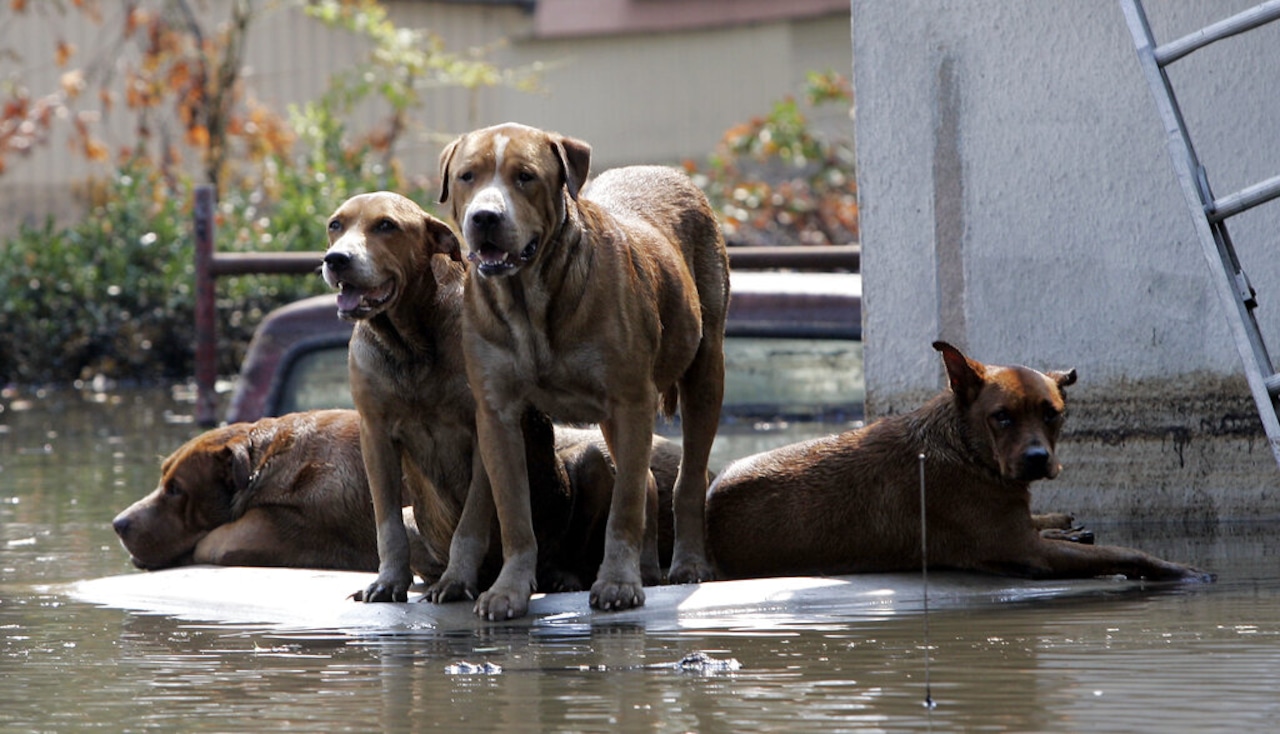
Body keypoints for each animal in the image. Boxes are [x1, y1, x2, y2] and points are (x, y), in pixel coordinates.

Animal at [435, 122, 732, 614]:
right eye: (466, 176)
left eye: (525, 177)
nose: (485, 217)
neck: (530, 301)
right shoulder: (497, 414)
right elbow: (514, 512)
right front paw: (508, 589)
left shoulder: (631, 400)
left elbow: (624, 506)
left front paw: (617, 583)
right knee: (645, 480)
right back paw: (647, 568)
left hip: (705, 369)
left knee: (685, 478)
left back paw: (688, 563)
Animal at [706, 338, 1213, 584]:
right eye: (1001, 417)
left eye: (1052, 413)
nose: (1037, 459)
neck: (970, 453)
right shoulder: (1028, 551)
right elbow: (1122, 551)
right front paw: (1177, 569)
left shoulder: (1021, 532)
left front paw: (1060, 521)